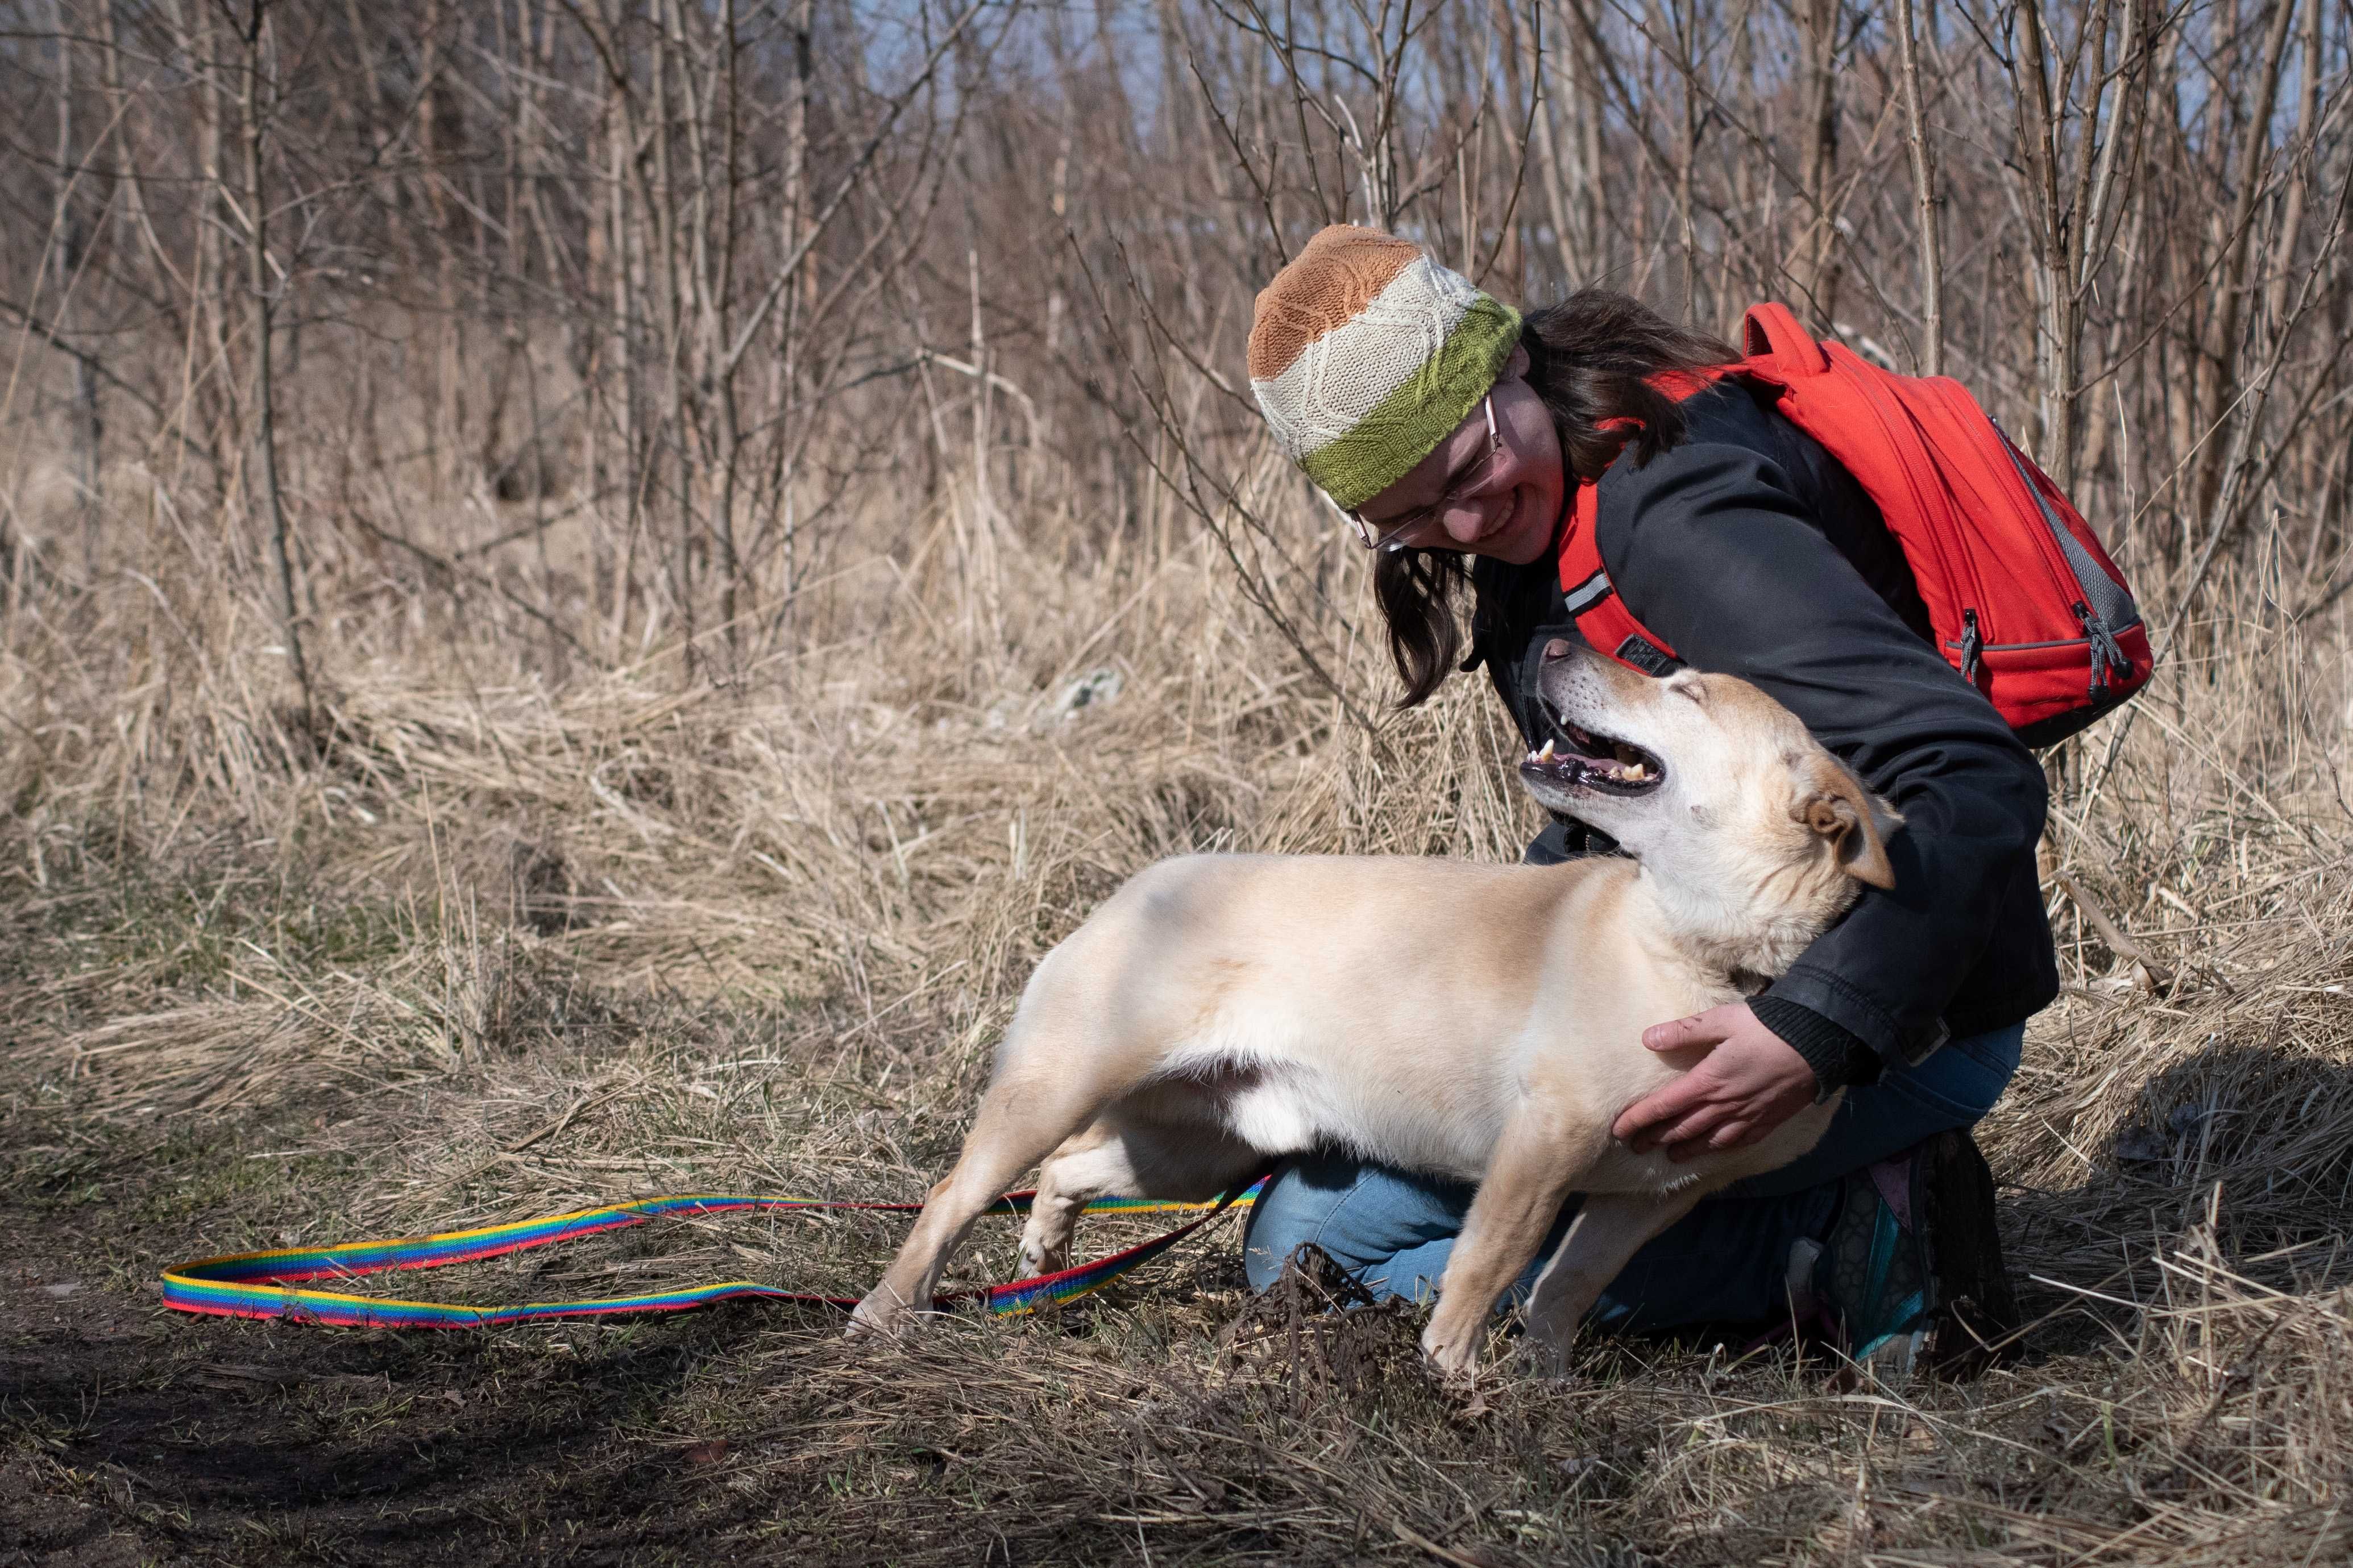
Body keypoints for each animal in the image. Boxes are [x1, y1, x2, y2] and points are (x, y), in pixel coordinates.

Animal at [856, 639, 1901, 1372]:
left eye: (1686, 693)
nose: (1553, 645)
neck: (1705, 957)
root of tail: (1141, 883)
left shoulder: (1652, 1195)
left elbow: (1563, 1289)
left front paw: (1543, 1388)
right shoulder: (1542, 1145)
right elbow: (1487, 1268)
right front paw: (1450, 1379)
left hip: (1198, 1149)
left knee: (1069, 1167)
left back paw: (1045, 1243)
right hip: (1056, 1089)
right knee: (953, 1194)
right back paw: (887, 1311)